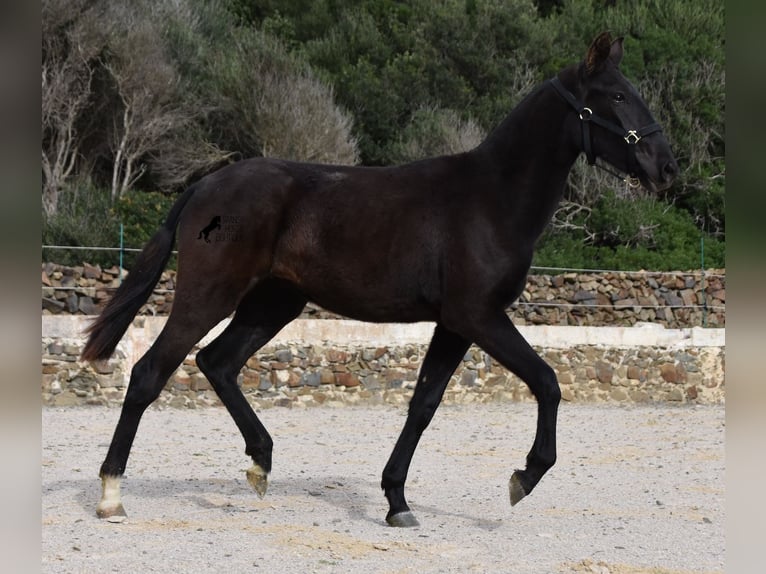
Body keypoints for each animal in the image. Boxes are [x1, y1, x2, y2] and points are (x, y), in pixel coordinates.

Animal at [81, 30, 676, 528]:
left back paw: (260, 464)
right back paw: (112, 496)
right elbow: (547, 382)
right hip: (211, 294)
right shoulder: (478, 316)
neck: (491, 201)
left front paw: (397, 502)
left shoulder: (454, 325)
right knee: (151, 372)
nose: (666, 167)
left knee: (217, 362)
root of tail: (204, 186)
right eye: (615, 96)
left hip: (275, 303)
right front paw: (523, 477)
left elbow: (423, 405)